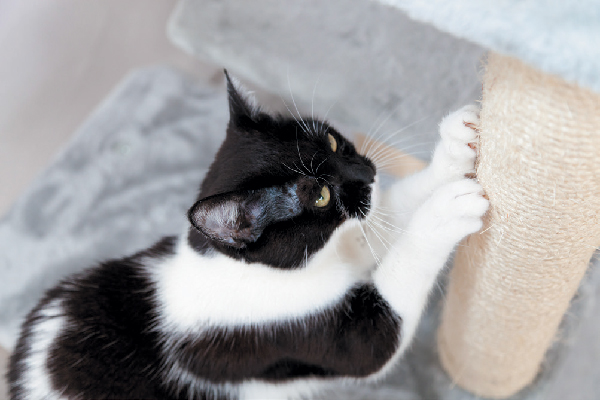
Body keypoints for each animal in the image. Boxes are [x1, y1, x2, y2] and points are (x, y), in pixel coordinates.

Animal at [8, 72, 488, 400]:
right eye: (319, 196)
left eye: (333, 143)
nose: (367, 172)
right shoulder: (289, 332)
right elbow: (379, 338)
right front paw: (445, 212)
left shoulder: (341, 239)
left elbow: (383, 216)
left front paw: (456, 145)